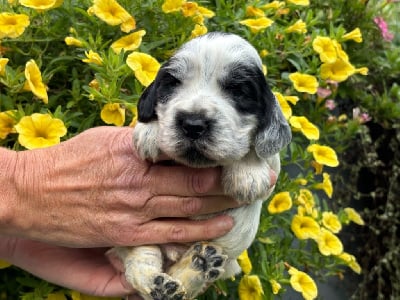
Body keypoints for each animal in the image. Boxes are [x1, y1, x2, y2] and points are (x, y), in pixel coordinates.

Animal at [112, 32, 290, 300]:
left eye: (238, 91)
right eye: (173, 83)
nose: (193, 124)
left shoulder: (273, 173)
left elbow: (256, 149)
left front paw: (248, 173)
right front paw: (150, 131)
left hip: (227, 260)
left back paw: (199, 265)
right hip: (135, 237)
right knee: (139, 264)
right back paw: (163, 284)